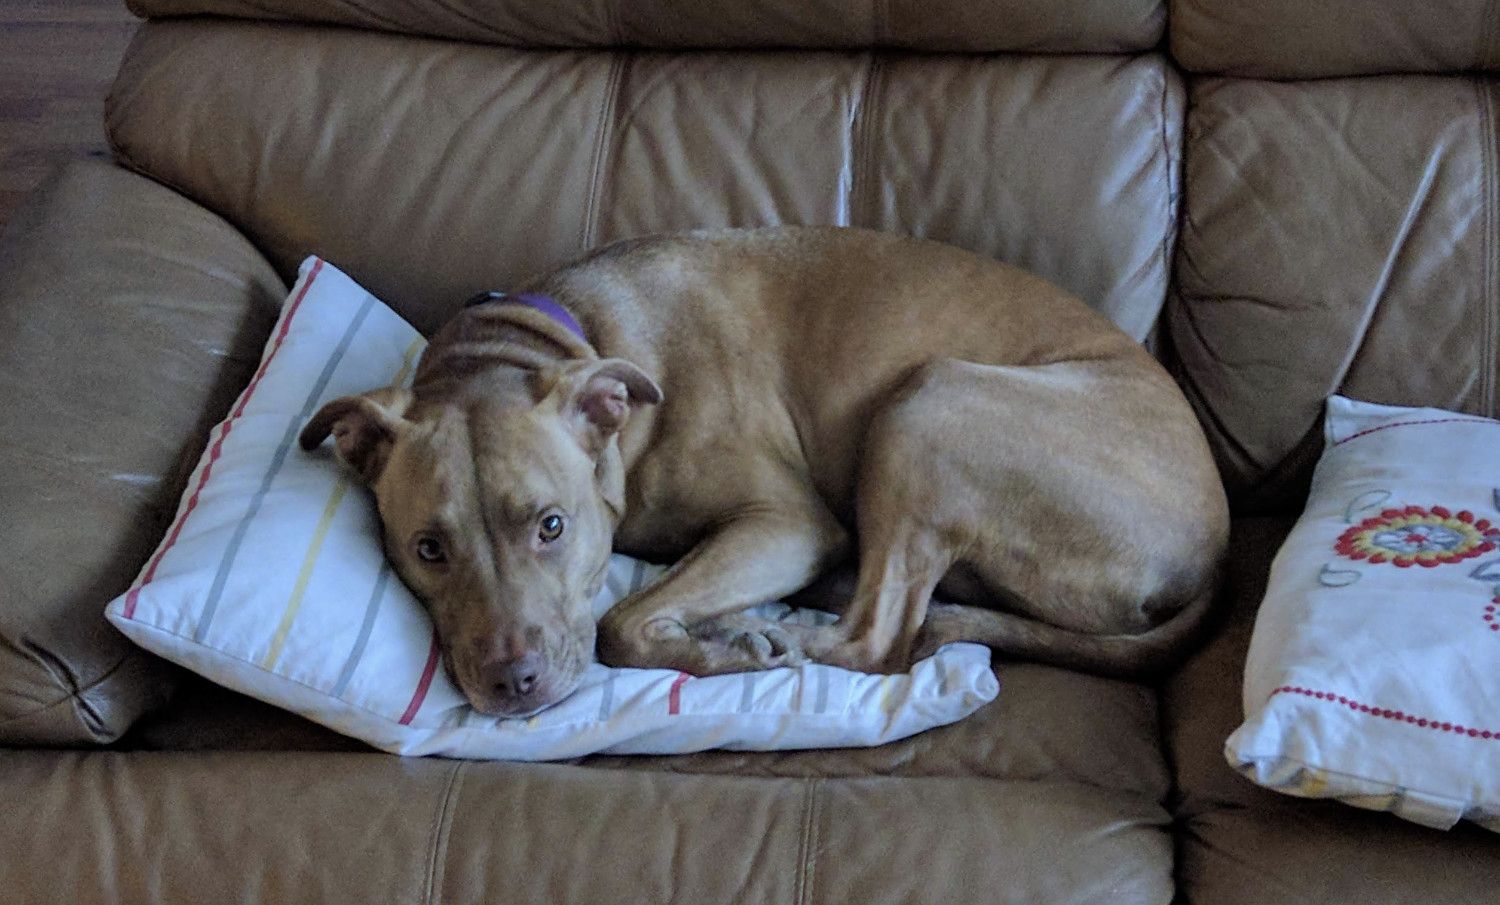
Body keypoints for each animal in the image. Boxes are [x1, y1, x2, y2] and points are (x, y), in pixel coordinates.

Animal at [295, 228, 1230, 723]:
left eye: (551, 525)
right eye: (428, 548)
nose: (512, 683)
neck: (548, 340)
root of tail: (1213, 557)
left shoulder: (787, 522)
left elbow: (620, 623)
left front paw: (723, 646)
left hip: (929, 402)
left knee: (879, 638)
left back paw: (779, 633)